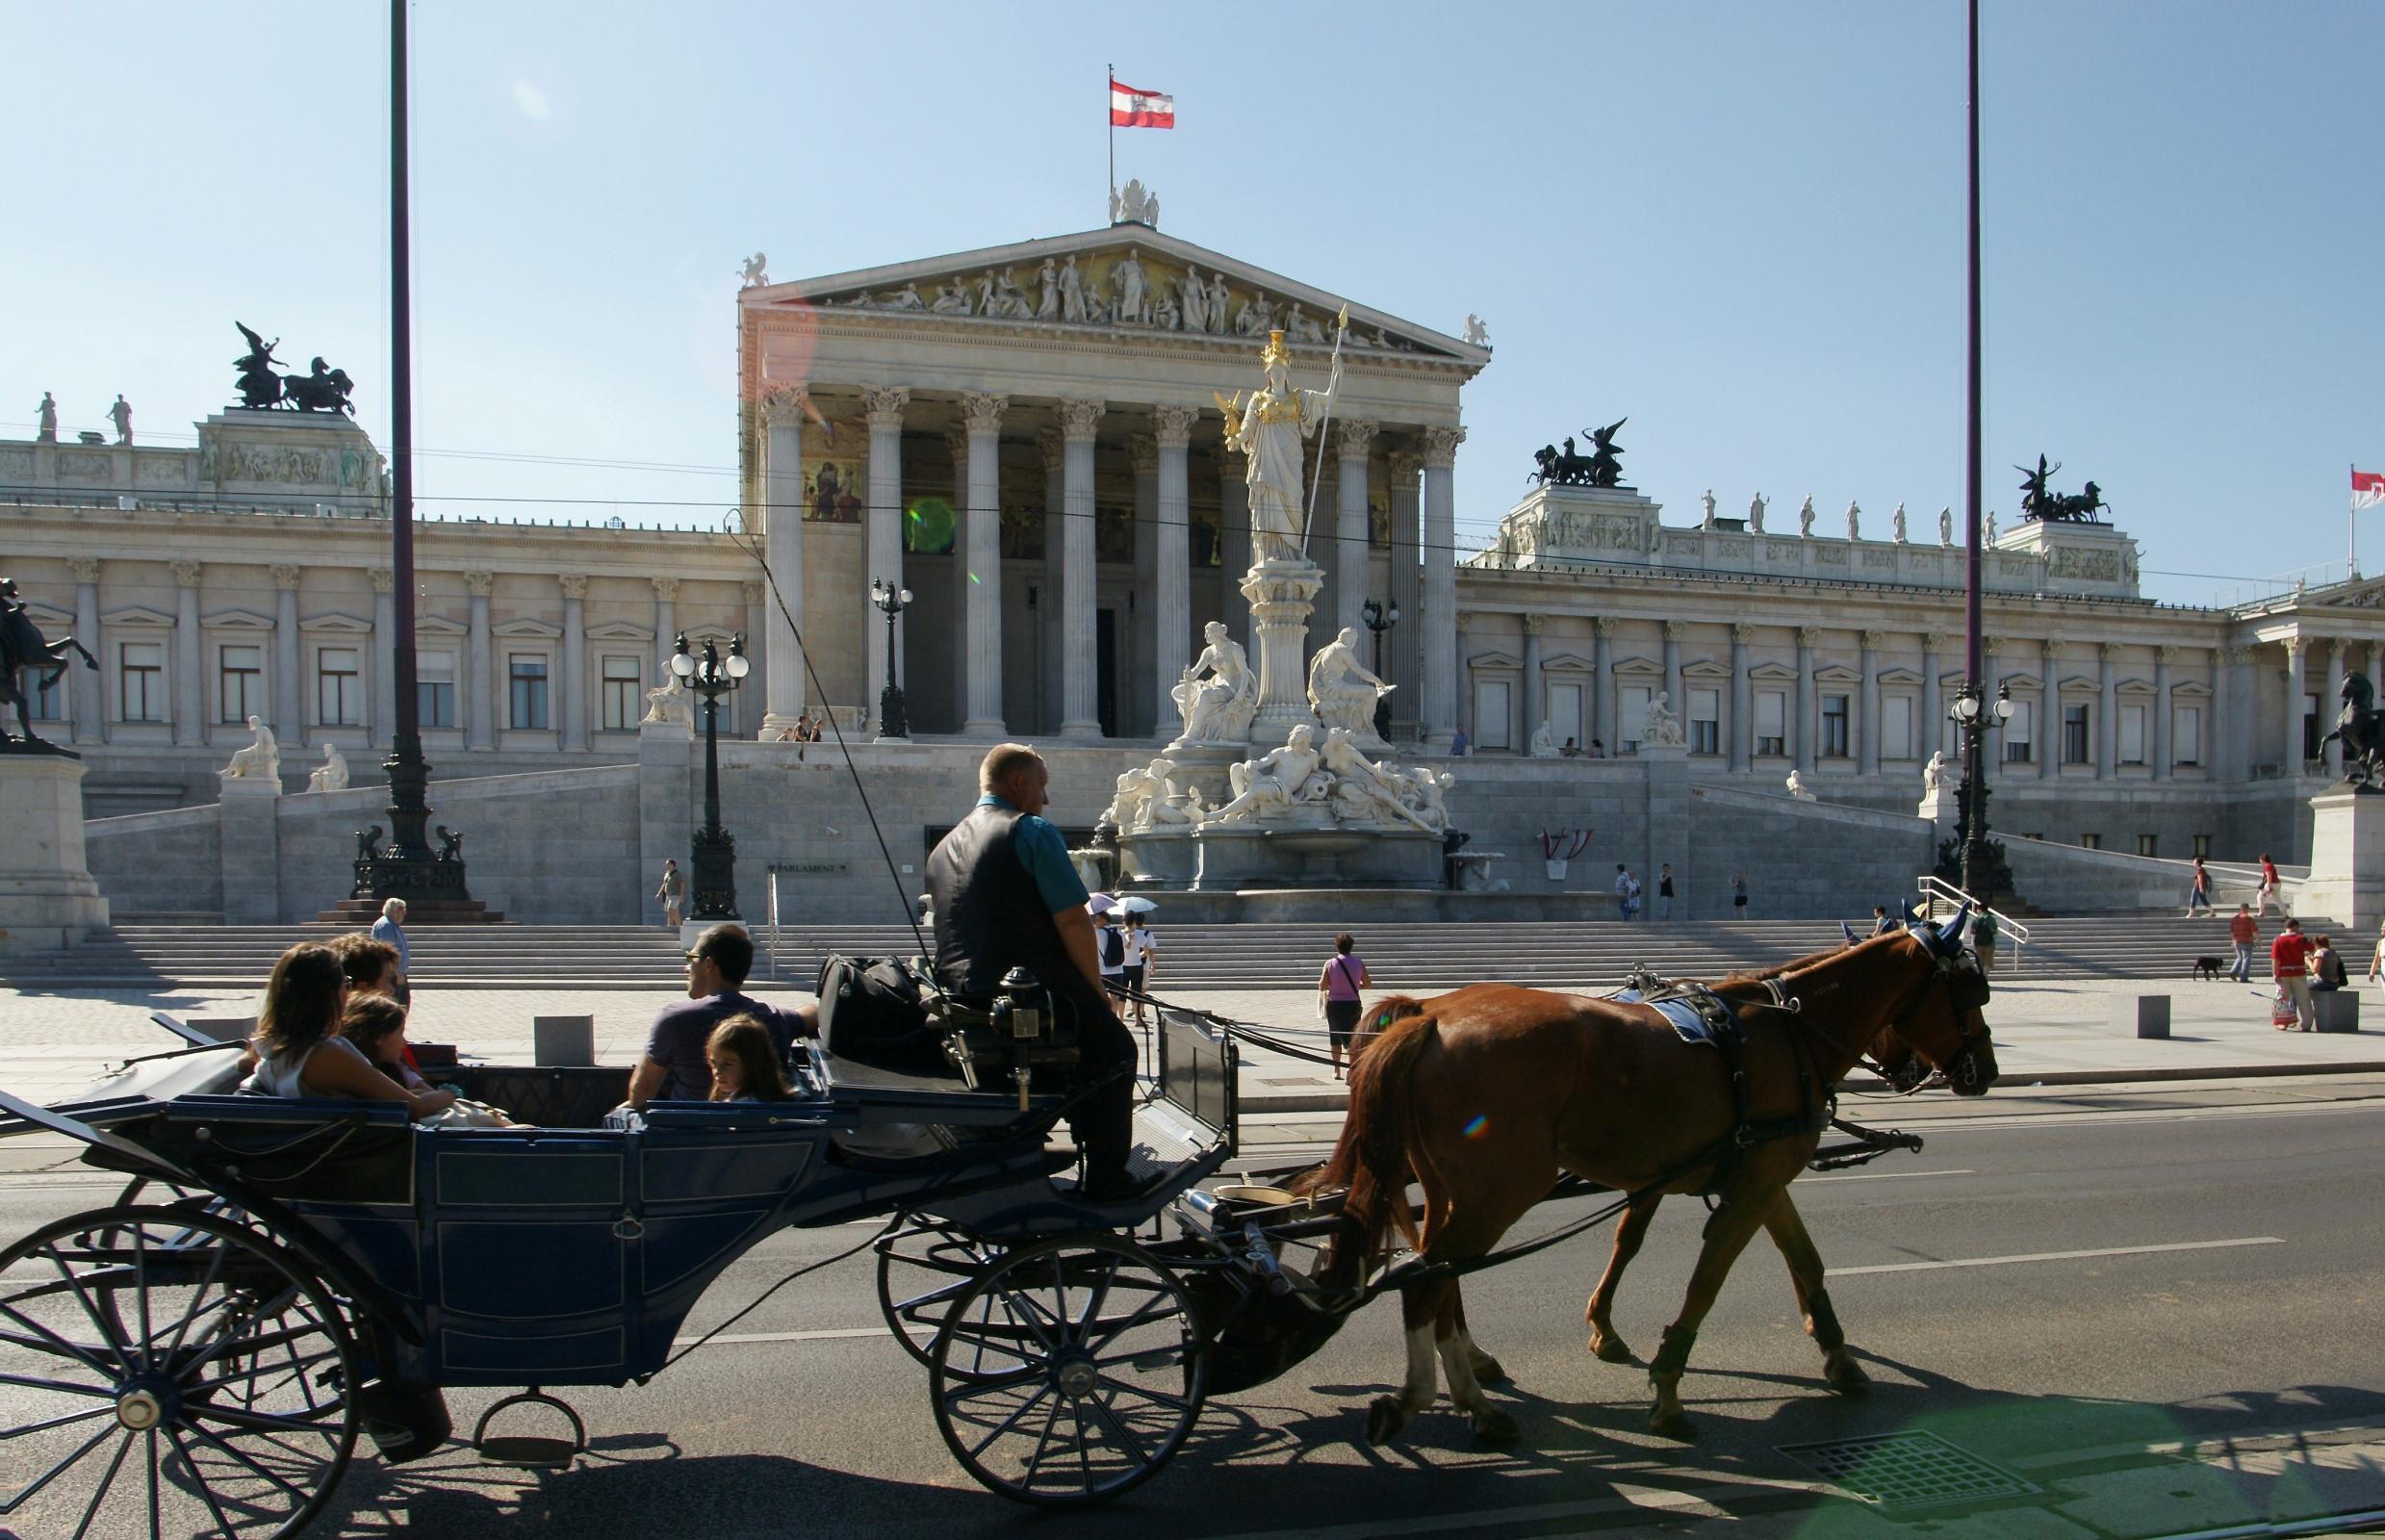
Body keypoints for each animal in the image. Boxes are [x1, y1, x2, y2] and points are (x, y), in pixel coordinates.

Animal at [1316, 924, 2003, 1458]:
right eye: (1972, 993)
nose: (1985, 1074)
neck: (1791, 1033)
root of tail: (1431, 1017)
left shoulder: (1759, 1176)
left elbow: (1803, 1260)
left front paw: (1840, 1356)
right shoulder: (1751, 1187)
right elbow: (1706, 1283)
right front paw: (1668, 1390)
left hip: (1455, 1190)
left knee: (1438, 1274)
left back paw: (1474, 1394)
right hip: (1501, 1190)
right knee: (1427, 1280)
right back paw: (1433, 1399)